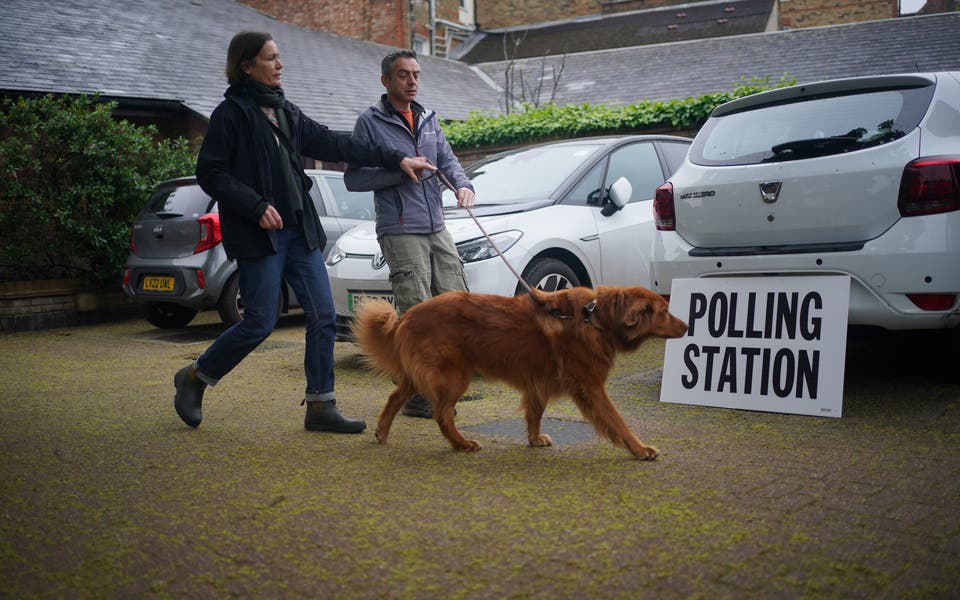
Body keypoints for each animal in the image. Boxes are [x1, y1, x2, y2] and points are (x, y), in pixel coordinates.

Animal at [352, 286, 688, 460]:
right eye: (665, 311)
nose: (686, 326)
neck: (594, 317)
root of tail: (407, 315)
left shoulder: (538, 379)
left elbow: (535, 413)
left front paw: (534, 439)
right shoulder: (590, 386)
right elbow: (617, 421)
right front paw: (640, 449)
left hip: (420, 375)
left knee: (395, 397)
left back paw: (382, 433)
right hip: (454, 375)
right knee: (442, 414)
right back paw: (461, 444)